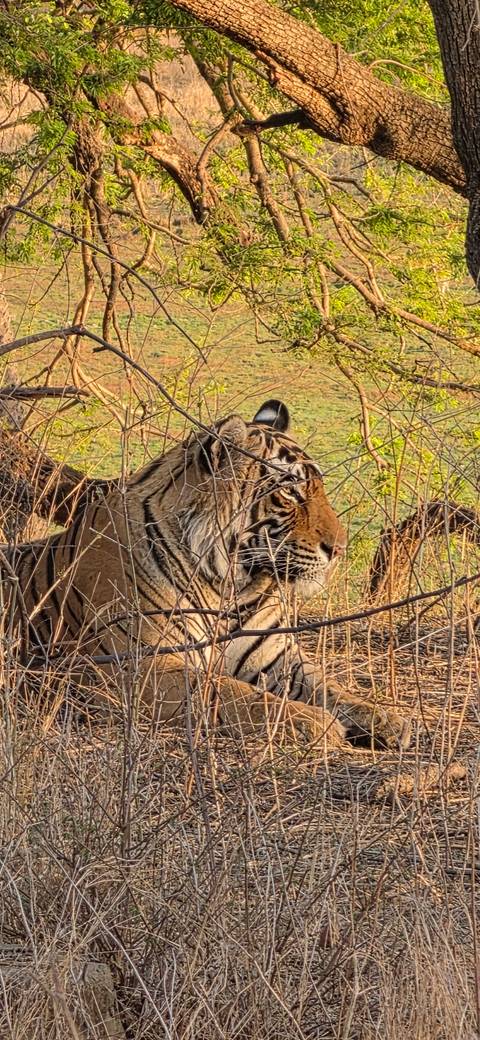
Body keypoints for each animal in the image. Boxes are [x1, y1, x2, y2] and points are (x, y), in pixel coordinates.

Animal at [2, 399, 409, 750]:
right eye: (291, 493)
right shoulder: (135, 665)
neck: (232, 586)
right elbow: (229, 692)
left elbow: (333, 688)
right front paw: (316, 722)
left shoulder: (277, 662)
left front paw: (389, 721)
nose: (339, 548)